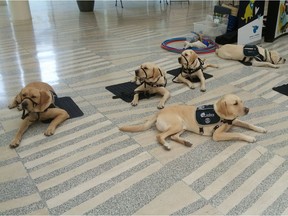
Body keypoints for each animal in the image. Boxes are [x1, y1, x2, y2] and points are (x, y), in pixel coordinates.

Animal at [118, 93, 266, 151]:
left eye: (241, 101)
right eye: (235, 103)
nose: (247, 109)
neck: (222, 115)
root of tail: (158, 112)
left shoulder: (234, 121)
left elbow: (248, 124)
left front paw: (260, 129)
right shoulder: (217, 135)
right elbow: (238, 134)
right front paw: (250, 138)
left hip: (181, 127)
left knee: (173, 136)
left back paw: (186, 142)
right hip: (176, 124)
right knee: (160, 136)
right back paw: (166, 145)